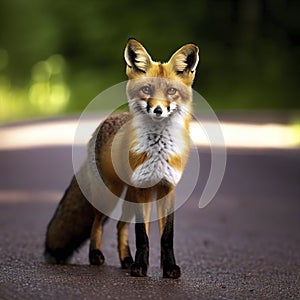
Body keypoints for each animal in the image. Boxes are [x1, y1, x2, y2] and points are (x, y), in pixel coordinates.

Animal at [45, 38, 199, 278]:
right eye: (146, 89)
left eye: (172, 91)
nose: (157, 110)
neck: (158, 149)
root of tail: (102, 124)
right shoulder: (142, 187)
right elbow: (142, 235)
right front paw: (140, 267)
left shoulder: (167, 188)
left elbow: (166, 236)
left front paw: (168, 268)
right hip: (111, 194)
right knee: (97, 224)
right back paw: (96, 256)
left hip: (129, 195)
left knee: (120, 226)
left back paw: (126, 259)